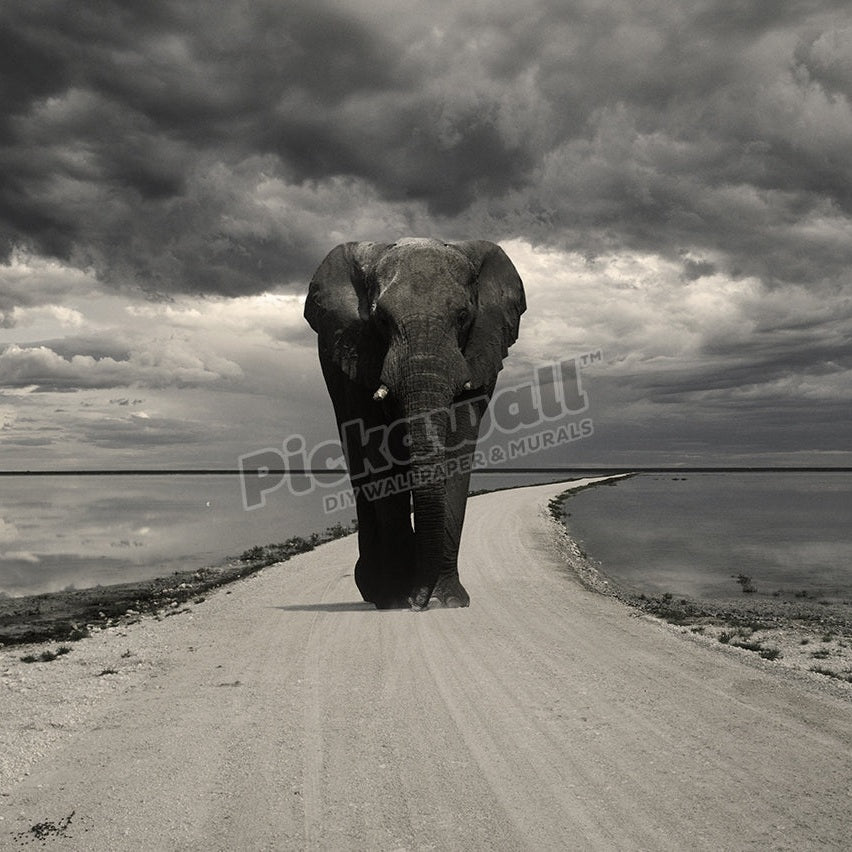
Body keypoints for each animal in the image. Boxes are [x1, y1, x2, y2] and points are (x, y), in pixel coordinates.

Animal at [304, 237, 525, 610]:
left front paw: (447, 601)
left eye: (462, 317)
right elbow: (379, 453)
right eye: (381, 319)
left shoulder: (481, 350)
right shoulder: (358, 352)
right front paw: (397, 599)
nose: (419, 601)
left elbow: (457, 448)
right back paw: (378, 591)